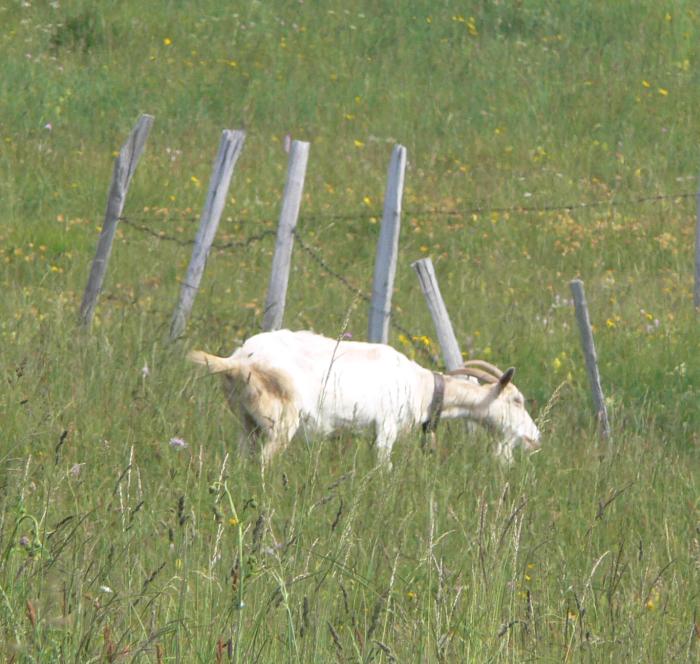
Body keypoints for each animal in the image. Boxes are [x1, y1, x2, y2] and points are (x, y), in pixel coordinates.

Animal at [187, 328, 540, 466]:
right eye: (517, 401)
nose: (535, 438)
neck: (422, 387)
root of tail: (239, 361)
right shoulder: (387, 427)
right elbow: (384, 465)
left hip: (247, 422)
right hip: (279, 422)